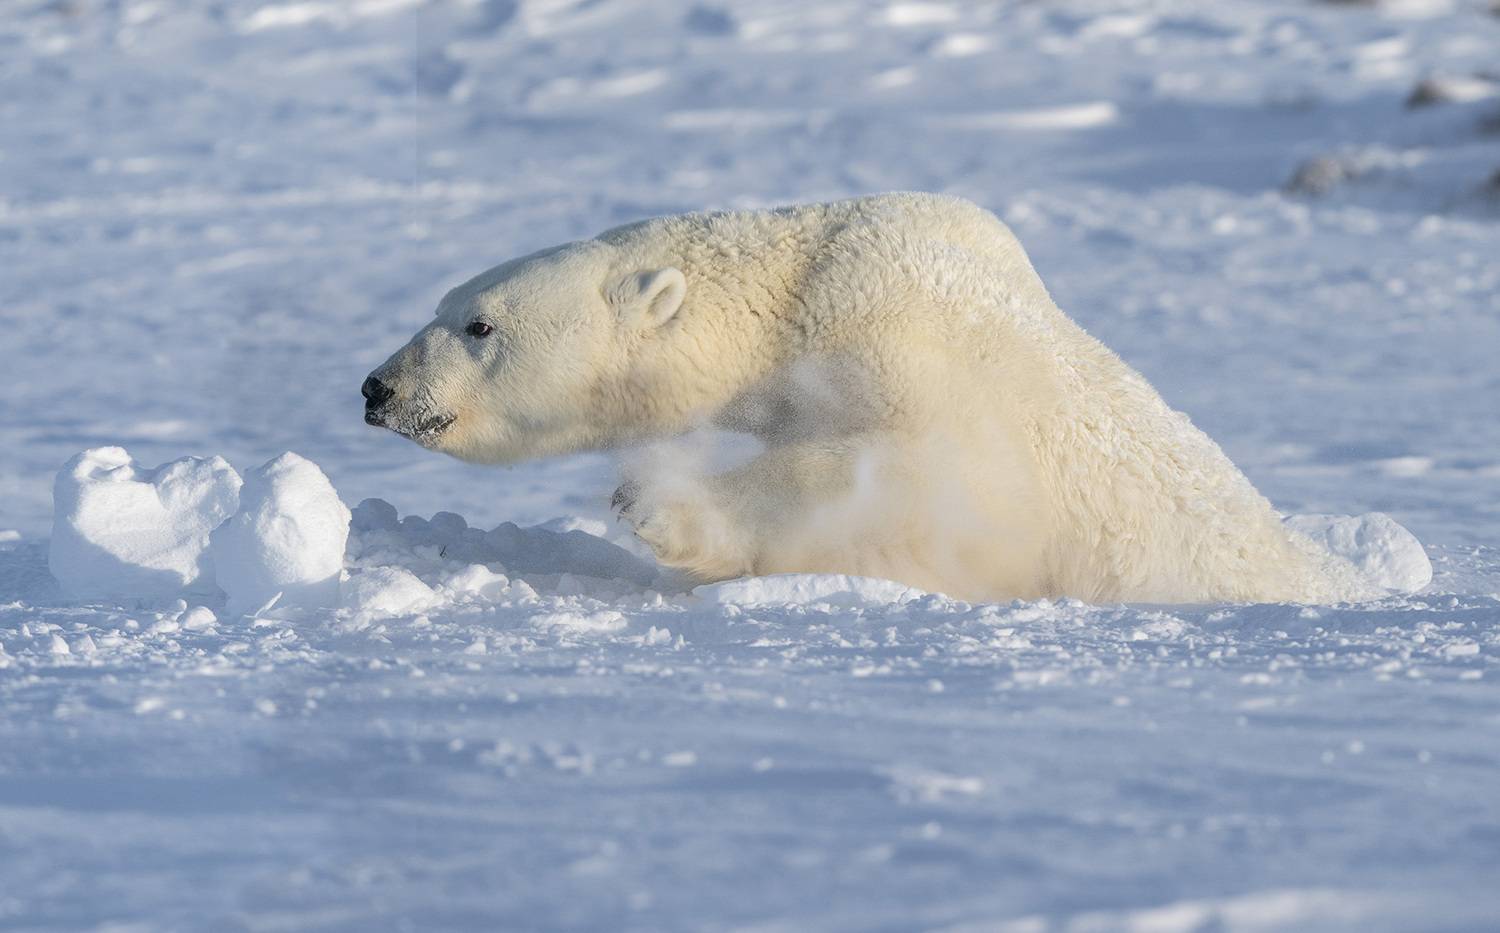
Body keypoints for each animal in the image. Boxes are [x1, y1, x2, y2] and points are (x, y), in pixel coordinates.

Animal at [363, 192, 1373, 604]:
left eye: (478, 325)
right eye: (443, 305)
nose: (378, 387)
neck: (805, 289)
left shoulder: (929, 372)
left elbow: (910, 480)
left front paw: (656, 504)